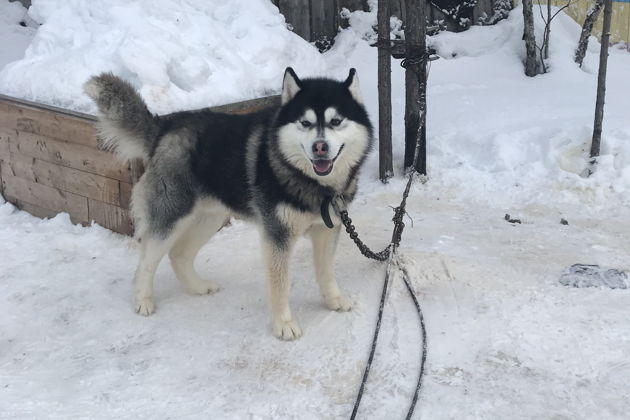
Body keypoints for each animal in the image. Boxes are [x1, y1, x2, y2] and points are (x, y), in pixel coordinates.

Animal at [82, 67, 372, 340]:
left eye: (336, 121)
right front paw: (283, 324)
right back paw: (143, 300)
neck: (313, 184)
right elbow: (280, 284)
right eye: (305, 122)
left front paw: (333, 300)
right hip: (172, 217)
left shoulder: (327, 229)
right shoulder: (277, 235)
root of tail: (164, 127)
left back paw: (198, 287)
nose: (320, 147)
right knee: (145, 263)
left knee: (179, 255)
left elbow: (326, 271)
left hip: (209, 218)